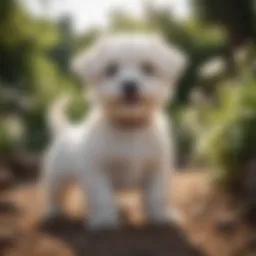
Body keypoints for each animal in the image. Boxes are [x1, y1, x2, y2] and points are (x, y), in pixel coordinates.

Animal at [41, 33, 186, 230]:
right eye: (111, 69)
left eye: (148, 68)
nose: (130, 85)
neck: (129, 126)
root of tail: (66, 131)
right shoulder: (97, 170)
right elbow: (102, 196)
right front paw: (104, 220)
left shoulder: (157, 168)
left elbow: (157, 195)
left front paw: (160, 216)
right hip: (57, 175)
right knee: (54, 193)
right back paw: (52, 211)